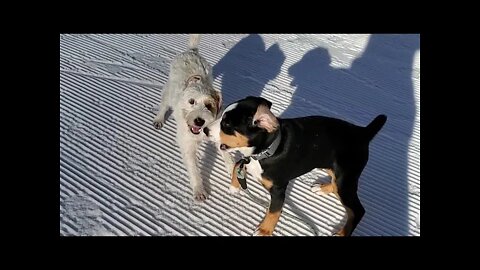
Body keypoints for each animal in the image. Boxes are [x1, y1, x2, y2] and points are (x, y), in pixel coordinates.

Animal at [152, 33, 223, 201]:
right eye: (191, 101)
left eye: (209, 105)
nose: (199, 120)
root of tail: (191, 51)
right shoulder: (188, 145)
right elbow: (194, 169)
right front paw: (199, 190)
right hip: (169, 91)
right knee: (163, 104)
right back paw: (159, 119)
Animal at [205, 96, 386, 235]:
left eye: (226, 125)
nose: (205, 130)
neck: (267, 150)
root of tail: (362, 132)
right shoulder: (248, 160)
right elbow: (238, 163)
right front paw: (234, 186)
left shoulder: (278, 189)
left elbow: (274, 212)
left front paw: (264, 231)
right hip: (332, 168)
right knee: (335, 184)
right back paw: (322, 188)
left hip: (345, 178)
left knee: (358, 210)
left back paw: (341, 234)